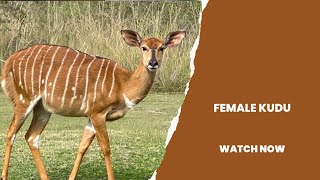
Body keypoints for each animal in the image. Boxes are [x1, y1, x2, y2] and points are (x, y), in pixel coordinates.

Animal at [0, 30, 185, 179]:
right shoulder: (98, 113)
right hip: (24, 100)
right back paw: (5, 176)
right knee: (11, 132)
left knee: (31, 136)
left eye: (162, 48)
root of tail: (10, 60)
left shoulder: (91, 117)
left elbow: (82, 147)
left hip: (43, 109)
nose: (153, 63)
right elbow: (106, 148)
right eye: (144, 47)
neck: (123, 84)